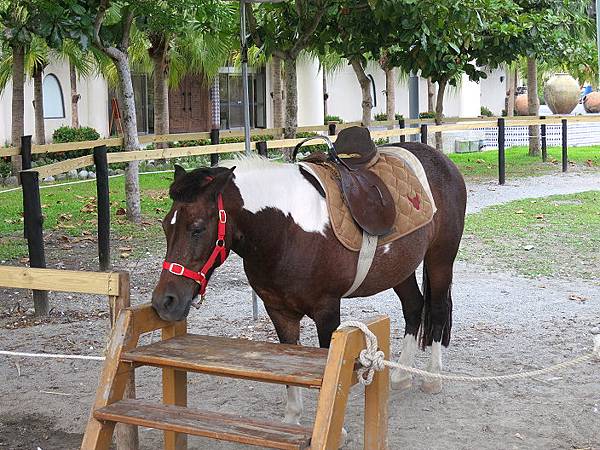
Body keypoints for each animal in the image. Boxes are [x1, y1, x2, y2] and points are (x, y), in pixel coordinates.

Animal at [152, 143, 466, 426]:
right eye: (166, 226)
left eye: (197, 228)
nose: (164, 302)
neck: (285, 229)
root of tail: (442, 160)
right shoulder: (279, 312)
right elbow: (290, 366)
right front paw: (292, 419)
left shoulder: (327, 311)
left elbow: (329, 371)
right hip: (401, 268)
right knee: (414, 307)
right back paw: (401, 376)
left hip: (440, 260)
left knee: (437, 310)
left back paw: (433, 377)